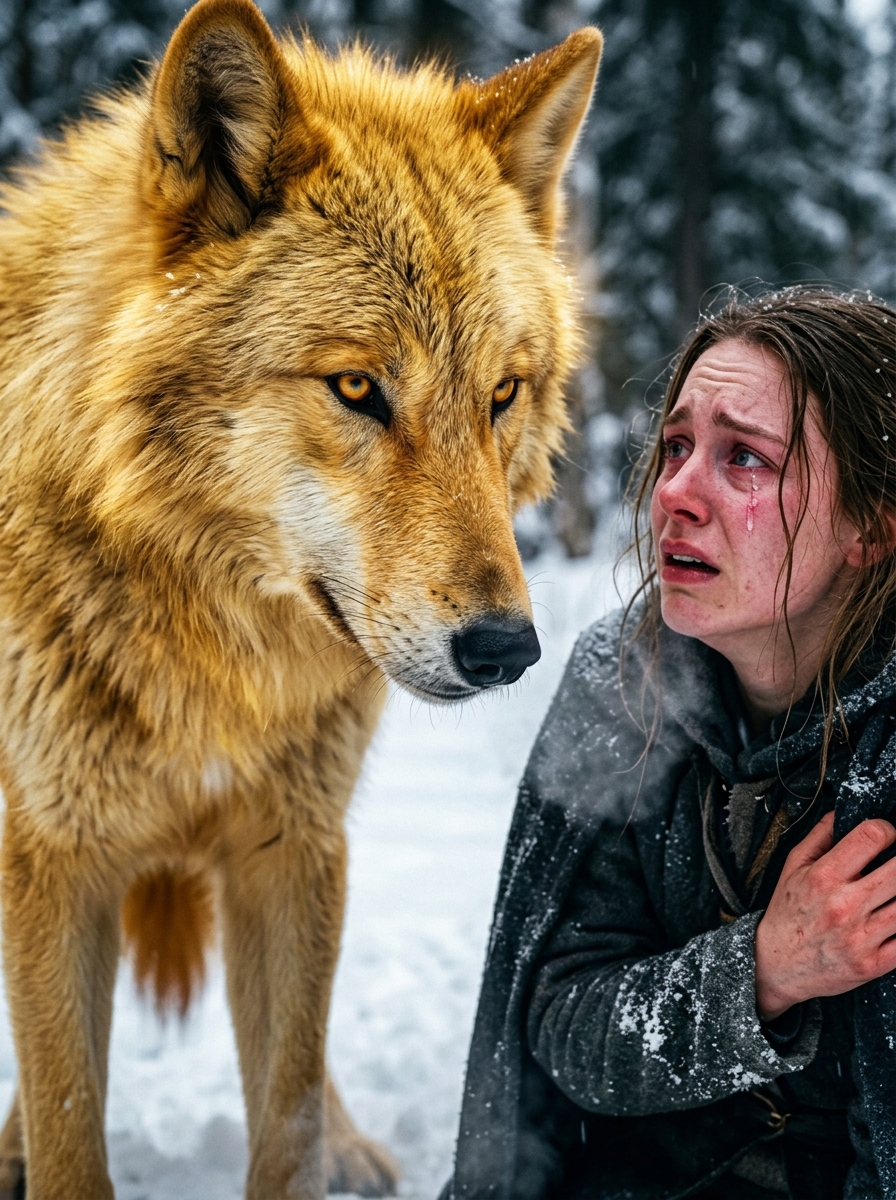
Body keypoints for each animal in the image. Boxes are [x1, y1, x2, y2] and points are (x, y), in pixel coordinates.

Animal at [0, 0, 601, 1195]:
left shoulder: (294, 849)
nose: (505, 649)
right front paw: (41, 1147)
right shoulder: (54, 860)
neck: (208, 662)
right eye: (358, 387)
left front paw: (319, 1148)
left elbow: (284, 1112)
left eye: (501, 394)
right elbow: (65, 1116)